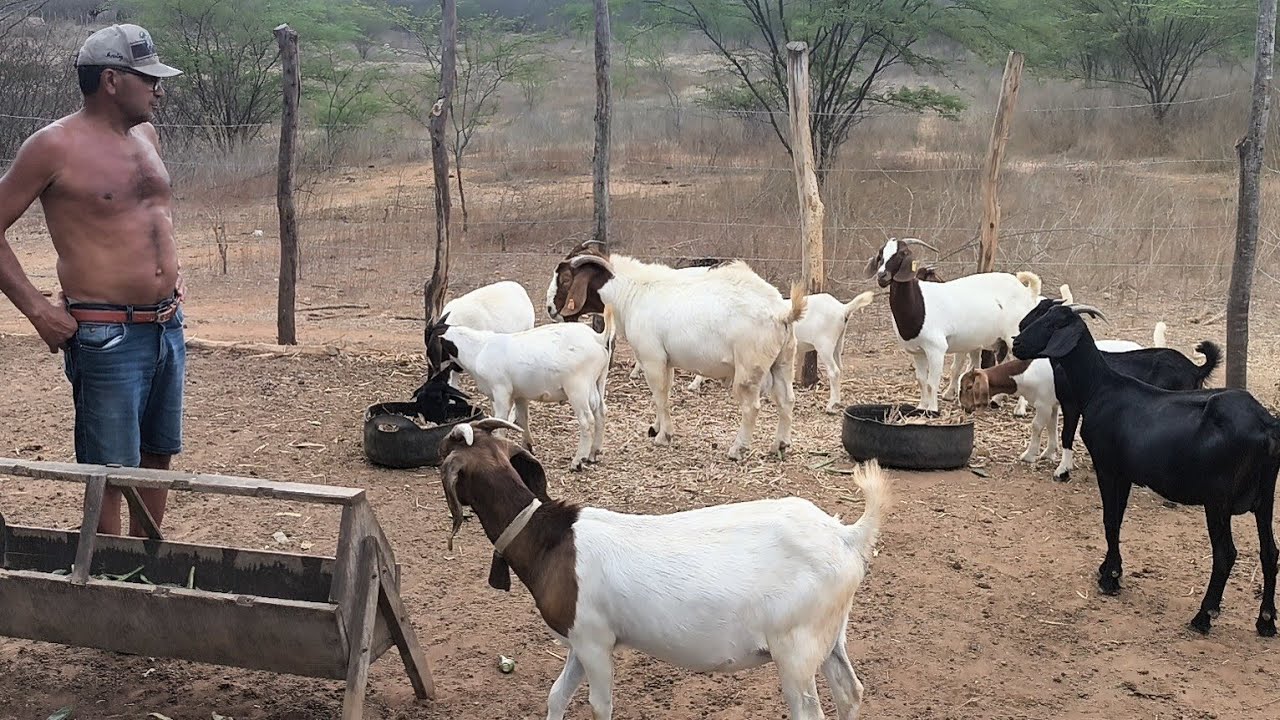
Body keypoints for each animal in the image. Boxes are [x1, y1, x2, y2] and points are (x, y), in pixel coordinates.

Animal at [425, 312, 612, 470]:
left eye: (430, 347)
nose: (432, 374)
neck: (478, 350)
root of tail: (597, 338)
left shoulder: (501, 391)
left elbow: (500, 420)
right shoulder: (520, 394)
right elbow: (522, 419)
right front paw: (527, 447)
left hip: (577, 388)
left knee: (587, 420)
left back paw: (578, 462)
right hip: (598, 382)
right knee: (600, 411)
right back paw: (593, 454)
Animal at [438, 417, 890, 720]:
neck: (551, 541)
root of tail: (846, 536)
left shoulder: (594, 642)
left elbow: (599, 706)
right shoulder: (579, 641)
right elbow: (556, 696)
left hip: (795, 648)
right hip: (828, 636)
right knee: (849, 691)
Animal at [547, 247, 806, 460]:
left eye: (566, 278)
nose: (549, 308)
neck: (631, 293)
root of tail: (782, 312)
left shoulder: (652, 358)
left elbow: (660, 395)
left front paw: (664, 436)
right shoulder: (666, 360)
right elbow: (664, 392)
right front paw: (655, 428)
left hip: (749, 368)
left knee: (751, 407)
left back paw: (737, 449)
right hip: (783, 361)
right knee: (787, 400)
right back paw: (780, 445)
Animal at [865, 238, 1041, 412]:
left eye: (902, 254)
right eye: (880, 255)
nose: (882, 275)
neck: (920, 303)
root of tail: (1028, 292)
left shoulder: (936, 349)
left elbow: (932, 383)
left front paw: (932, 409)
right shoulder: (917, 352)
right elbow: (921, 381)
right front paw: (921, 407)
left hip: (1015, 337)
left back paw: (1019, 409)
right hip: (1001, 340)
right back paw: (997, 400)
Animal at [1019, 298, 1220, 480]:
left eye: (1051, 322)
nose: (1017, 341)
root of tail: (1196, 368)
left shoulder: (1071, 405)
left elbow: (1066, 434)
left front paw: (1062, 470)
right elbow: (1052, 425)